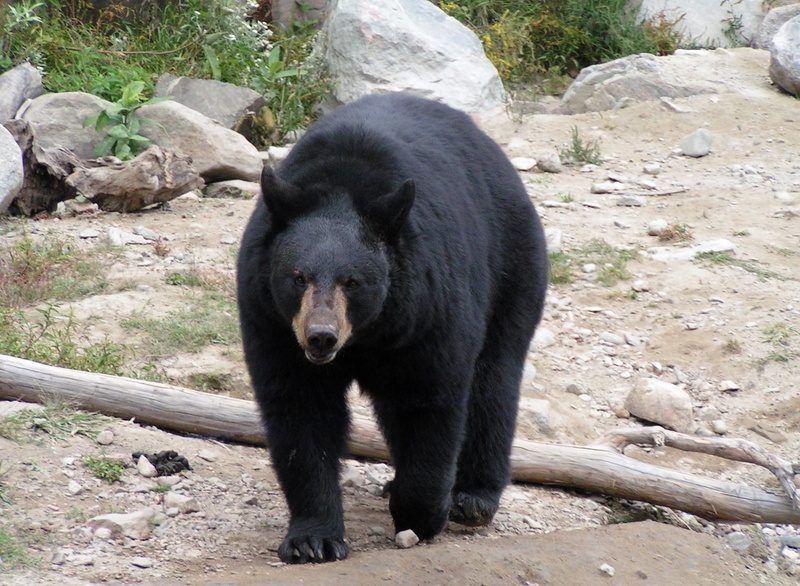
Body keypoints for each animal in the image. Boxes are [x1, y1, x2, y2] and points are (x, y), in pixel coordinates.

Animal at [236, 94, 548, 564]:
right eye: (297, 276)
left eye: (352, 281)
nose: (321, 336)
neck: (368, 333)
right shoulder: (271, 321)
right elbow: (299, 410)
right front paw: (313, 539)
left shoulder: (427, 311)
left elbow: (430, 401)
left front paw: (423, 513)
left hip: (513, 264)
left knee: (494, 380)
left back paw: (473, 496)